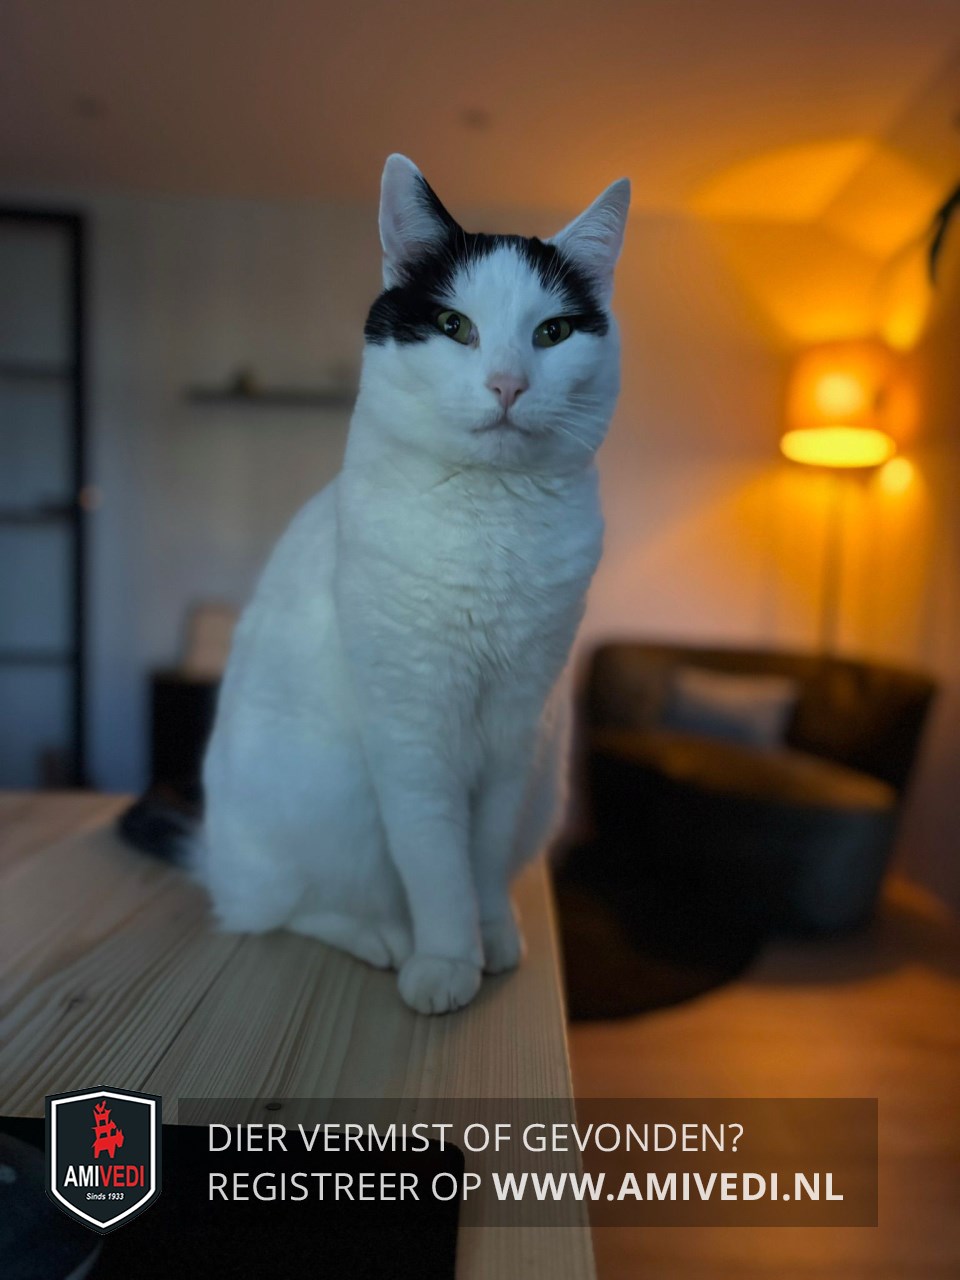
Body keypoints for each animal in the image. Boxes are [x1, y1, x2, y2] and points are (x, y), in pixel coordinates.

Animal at [200, 154, 630, 1014]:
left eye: (553, 332)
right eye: (455, 327)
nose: (506, 384)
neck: (490, 517)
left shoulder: (516, 728)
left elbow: (484, 857)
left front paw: (492, 939)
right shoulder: (412, 731)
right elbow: (435, 859)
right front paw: (446, 959)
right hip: (317, 801)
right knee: (278, 909)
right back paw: (381, 939)